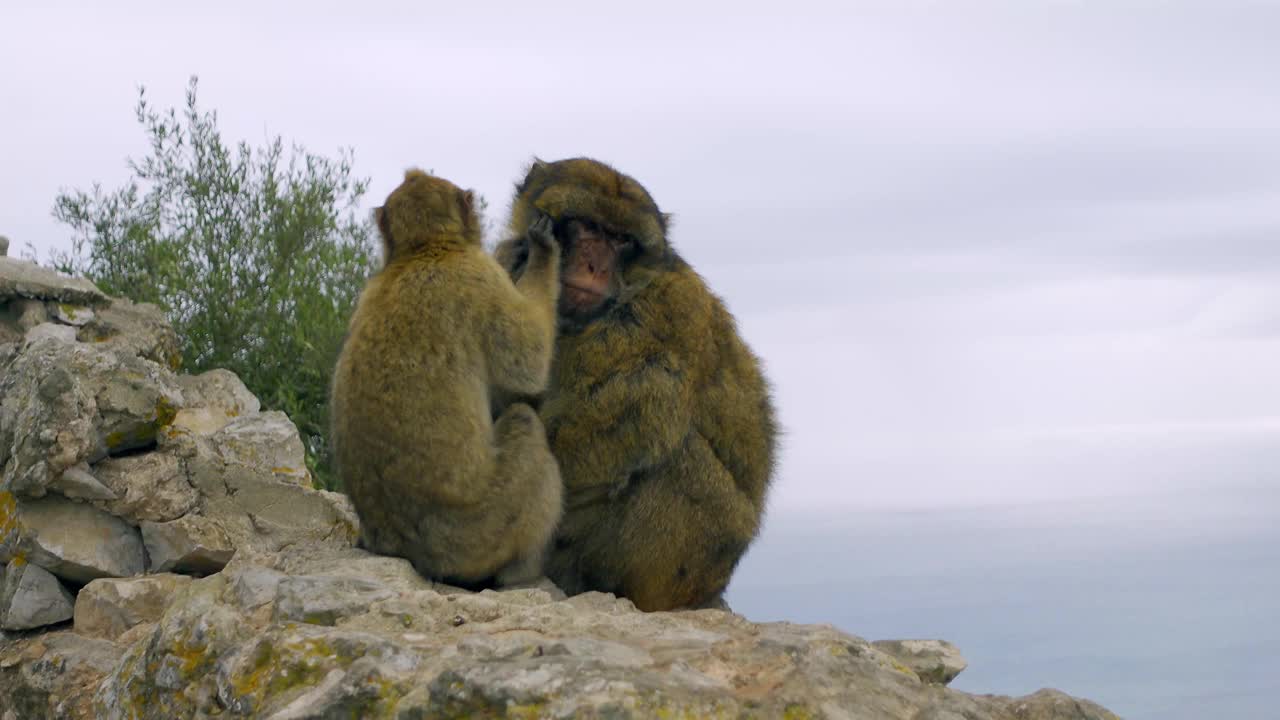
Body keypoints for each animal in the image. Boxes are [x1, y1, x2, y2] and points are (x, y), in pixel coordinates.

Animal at [332, 170, 563, 586]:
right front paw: (542, 251)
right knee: (524, 420)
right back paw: (522, 573)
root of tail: (409, 551)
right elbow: (529, 365)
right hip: (482, 529)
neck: (424, 250)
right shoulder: (479, 275)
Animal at [491, 155, 773, 604]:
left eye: (621, 240)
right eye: (588, 226)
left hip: (700, 555)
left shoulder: (662, 310)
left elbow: (589, 432)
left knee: (667, 426)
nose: (596, 266)